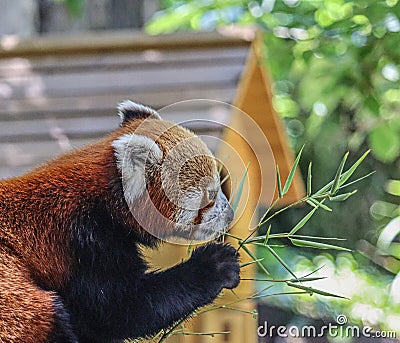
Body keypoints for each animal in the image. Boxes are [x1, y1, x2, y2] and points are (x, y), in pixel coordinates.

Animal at [0, 101, 239, 343]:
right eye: (210, 194)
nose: (230, 215)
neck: (104, 202)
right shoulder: (84, 244)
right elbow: (121, 309)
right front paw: (216, 265)